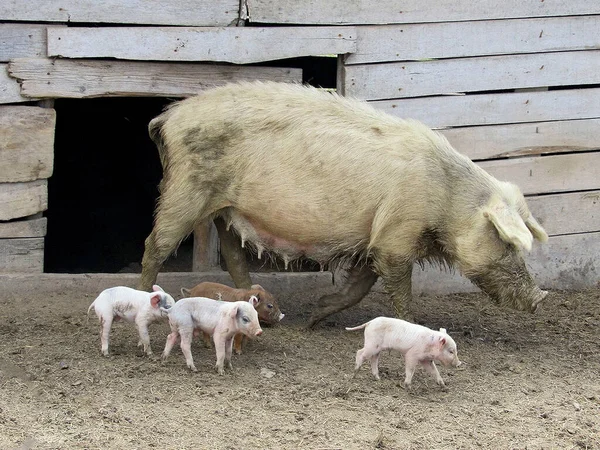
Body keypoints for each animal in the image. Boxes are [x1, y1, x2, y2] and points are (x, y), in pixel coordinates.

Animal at [137, 81, 548, 326]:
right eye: (506, 242)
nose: (540, 297)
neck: (446, 200)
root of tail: (168, 117)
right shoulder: (396, 235)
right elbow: (398, 289)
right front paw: (411, 325)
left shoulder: (374, 239)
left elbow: (358, 287)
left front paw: (314, 317)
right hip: (186, 189)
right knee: (154, 244)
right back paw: (146, 296)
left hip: (224, 209)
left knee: (235, 257)